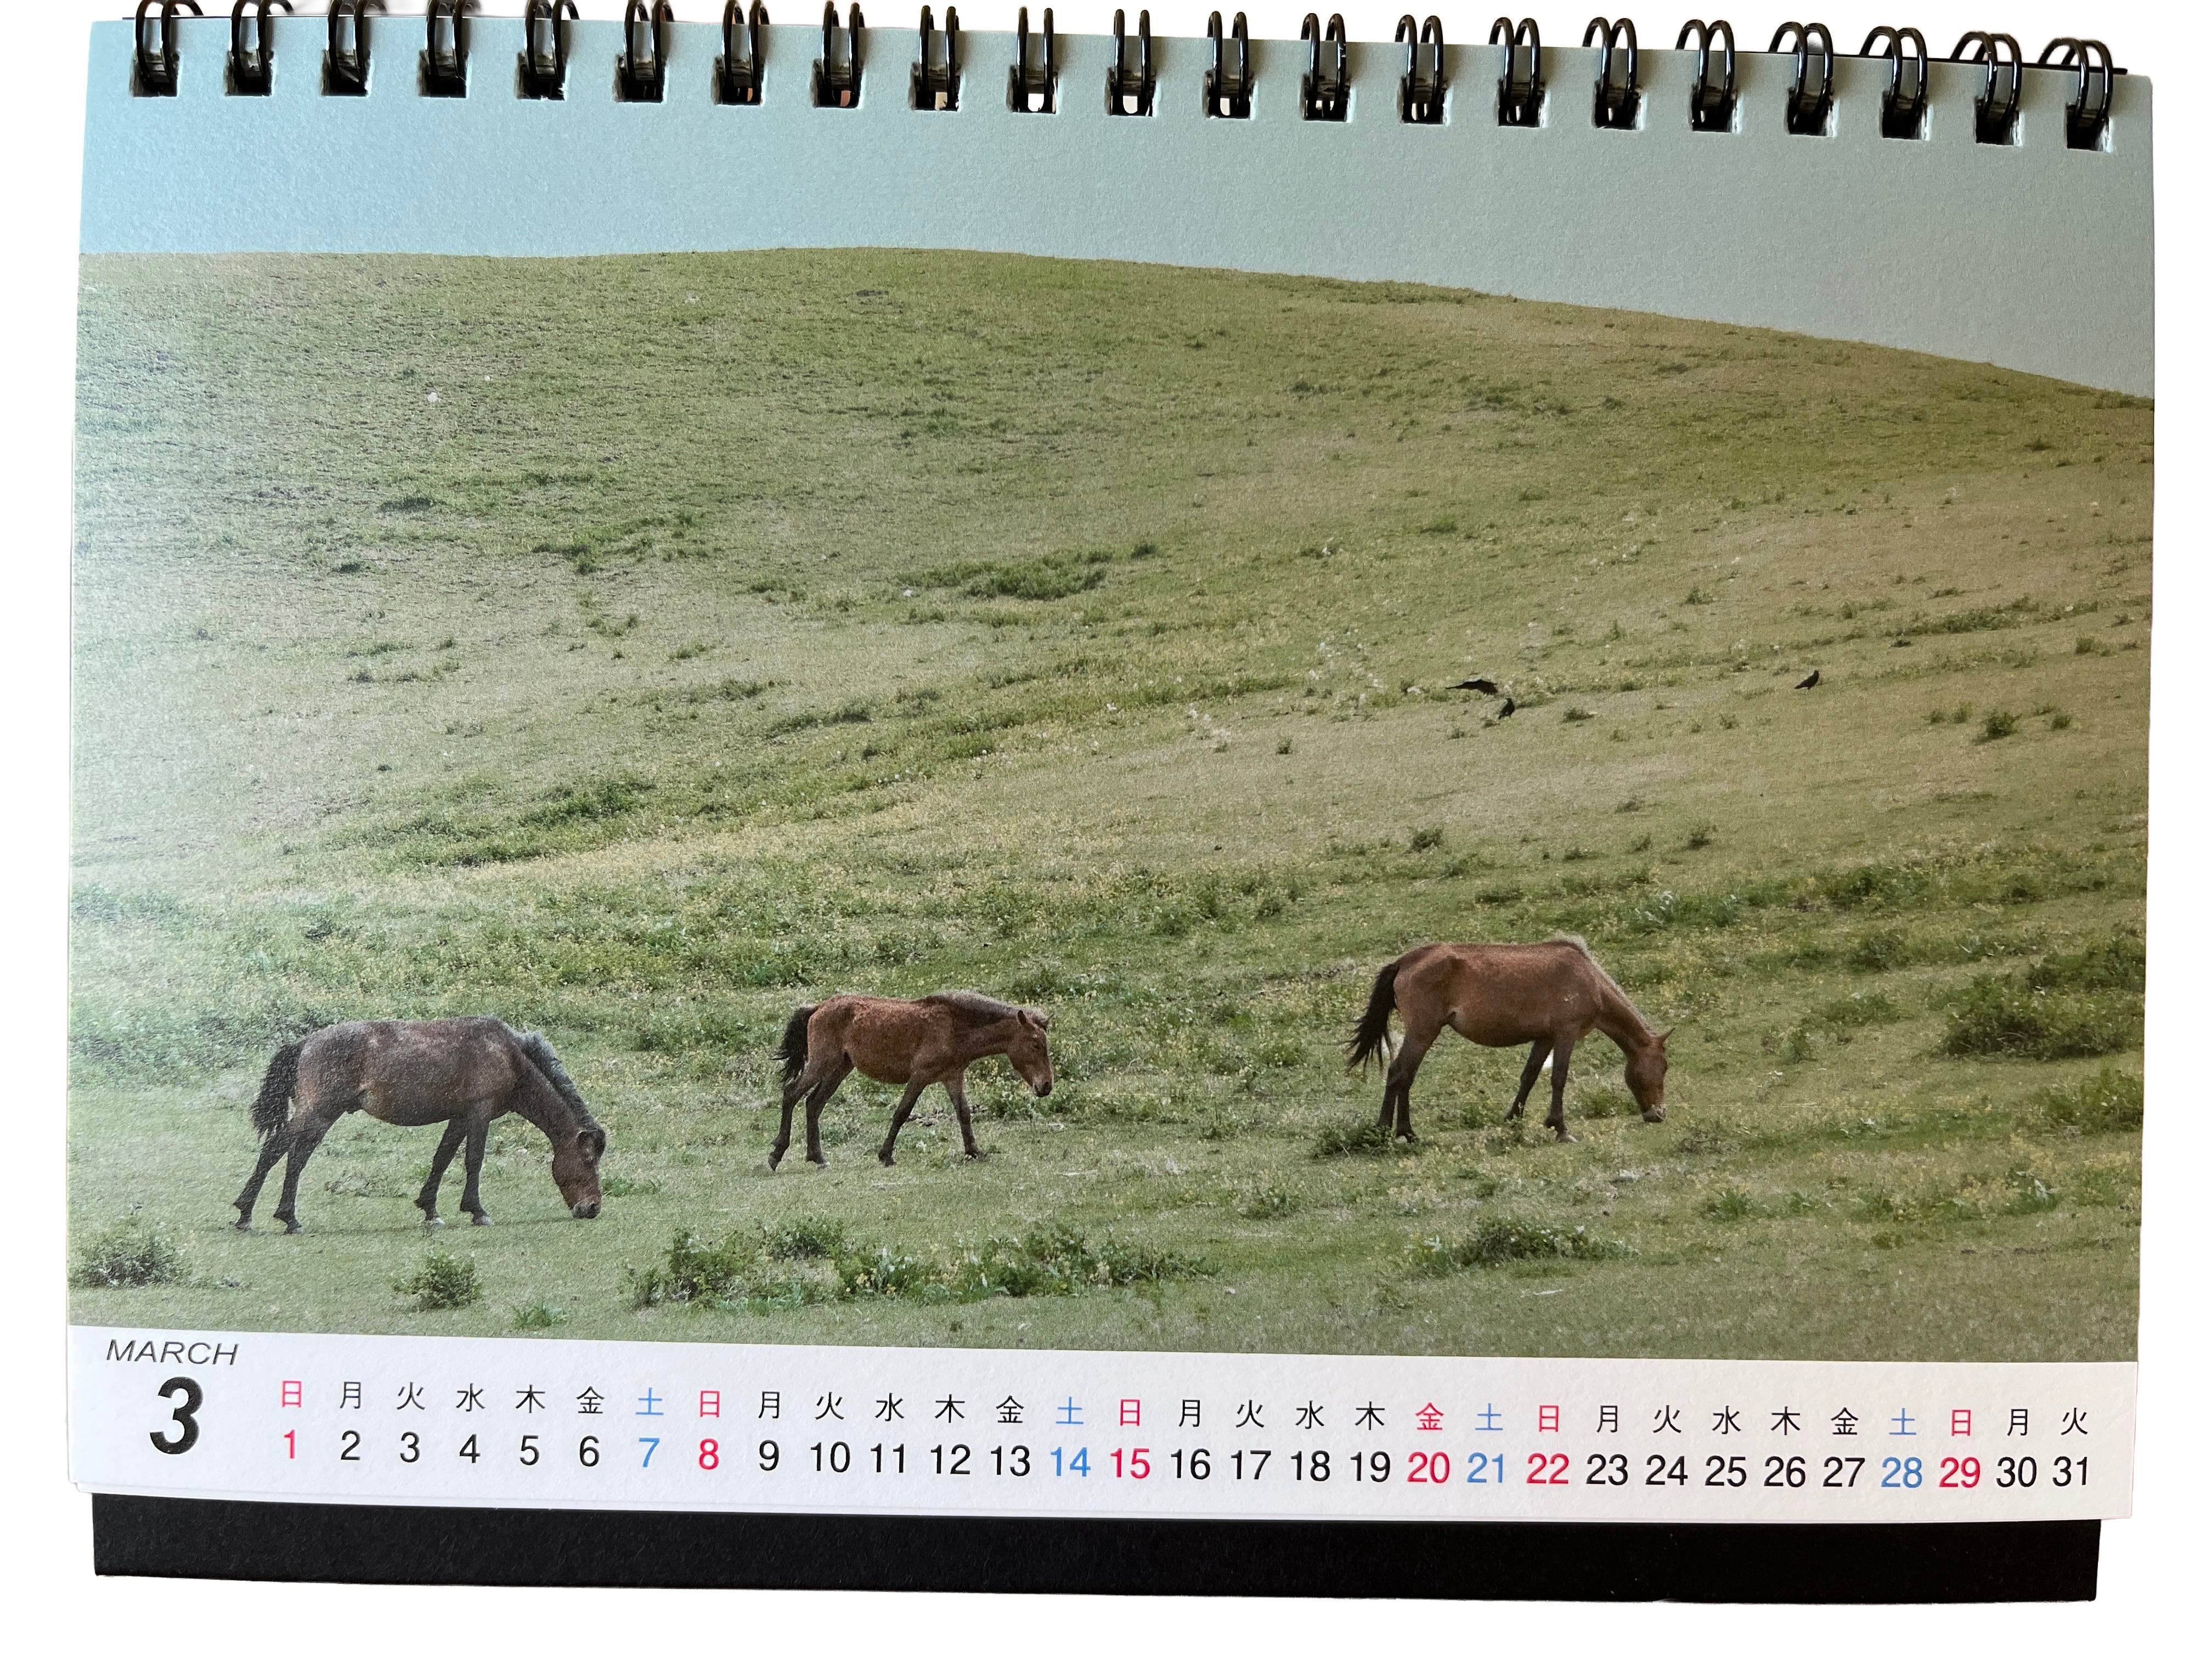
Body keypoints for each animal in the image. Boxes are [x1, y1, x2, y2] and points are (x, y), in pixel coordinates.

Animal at [232, 1018, 607, 1234]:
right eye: (589, 1159)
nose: (592, 1208)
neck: (509, 1055)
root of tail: (305, 1043)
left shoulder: (459, 1117)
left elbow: (442, 1159)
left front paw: (430, 1211)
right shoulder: (479, 1113)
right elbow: (474, 1160)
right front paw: (478, 1211)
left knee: (289, 1156)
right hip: (318, 1114)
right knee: (280, 1152)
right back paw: (263, 1216)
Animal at [771, 992, 1054, 1169]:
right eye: (1036, 1044)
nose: (1046, 1086)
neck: (955, 1027)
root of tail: (817, 1008)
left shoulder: (952, 1077)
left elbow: (964, 1113)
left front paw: (975, 1152)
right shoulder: (920, 1076)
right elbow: (902, 1112)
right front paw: (886, 1155)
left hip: (840, 1068)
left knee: (813, 1104)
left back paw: (817, 1158)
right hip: (822, 1064)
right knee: (791, 1094)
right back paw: (776, 1154)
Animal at [1345, 937, 1669, 1143]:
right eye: (1664, 1067)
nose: (1658, 1114)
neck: (1589, 979)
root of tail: (1405, 961)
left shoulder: (1545, 1037)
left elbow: (1530, 1075)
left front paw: (1514, 1118)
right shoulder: (1566, 1034)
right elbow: (1559, 1078)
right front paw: (1561, 1129)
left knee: (1405, 1076)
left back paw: (1404, 1132)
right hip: (1423, 1031)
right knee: (1400, 1073)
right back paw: (1391, 1131)